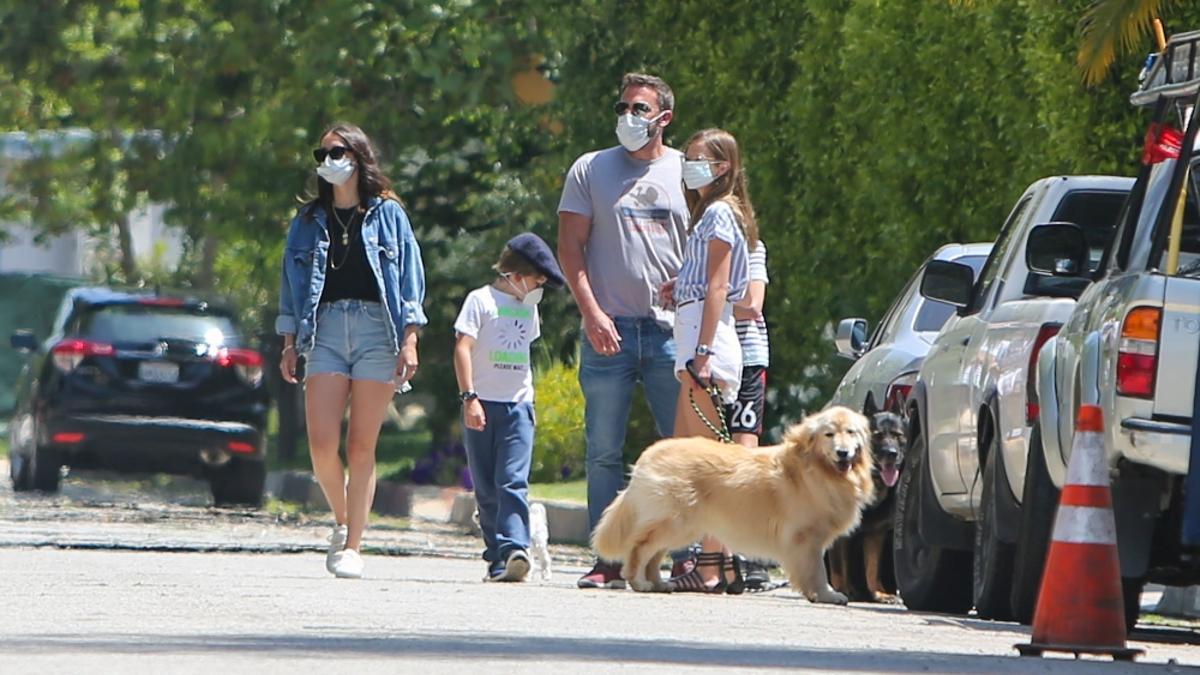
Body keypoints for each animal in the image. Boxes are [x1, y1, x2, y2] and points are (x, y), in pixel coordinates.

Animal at [830, 408, 902, 600]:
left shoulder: (875, 534)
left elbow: (873, 568)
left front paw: (878, 593)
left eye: (898, 435)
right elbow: (839, 568)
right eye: (877, 435)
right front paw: (841, 591)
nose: (892, 453)